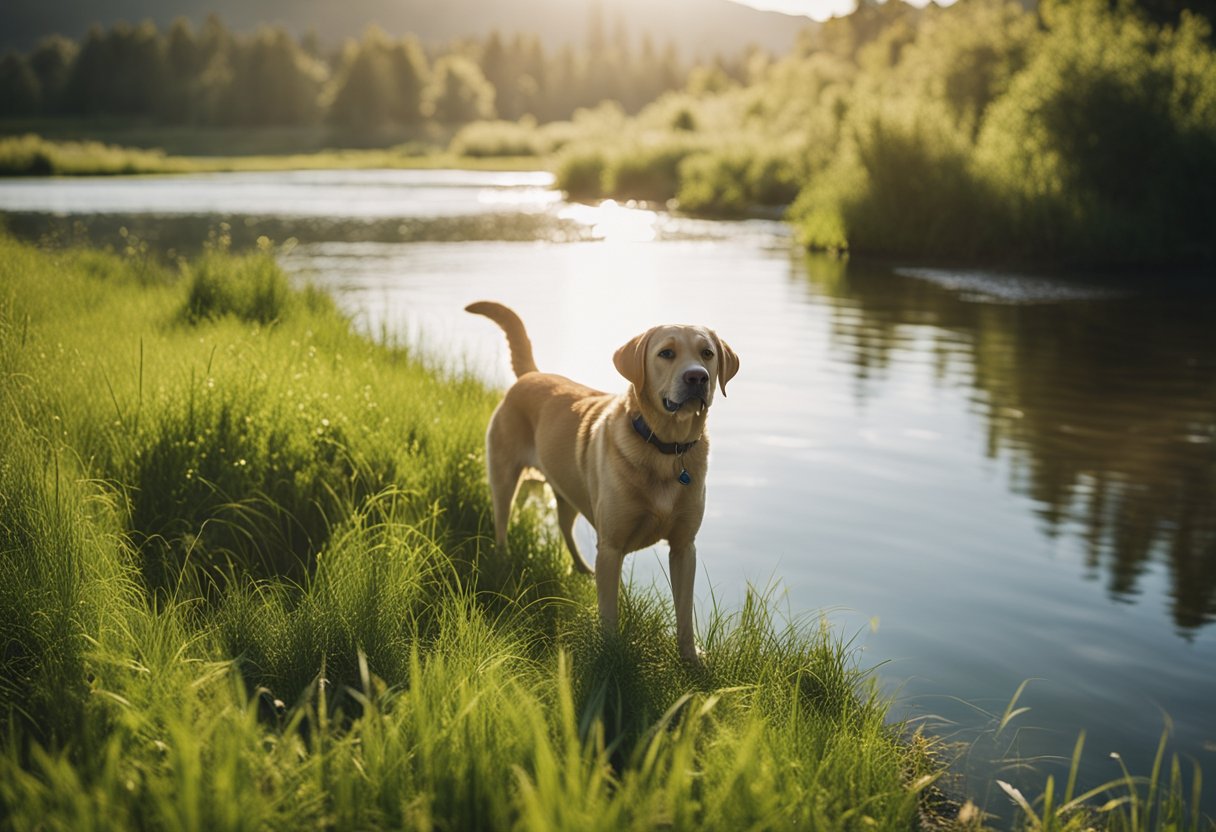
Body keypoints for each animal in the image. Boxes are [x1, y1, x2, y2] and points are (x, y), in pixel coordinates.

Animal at [462, 301, 729, 661]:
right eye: (666, 353)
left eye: (707, 353)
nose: (697, 376)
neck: (666, 448)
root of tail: (532, 374)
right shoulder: (612, 546)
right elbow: (609, 610)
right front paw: (611, 651)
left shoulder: (684, 547)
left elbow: (684, 611)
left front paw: (690, 658)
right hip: (504, 478)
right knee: (502, 521)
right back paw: (503, 561)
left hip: (568, 491)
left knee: (565, 527)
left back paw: (581, 568)